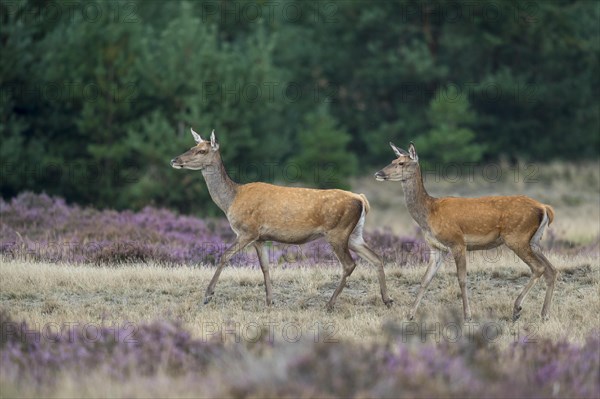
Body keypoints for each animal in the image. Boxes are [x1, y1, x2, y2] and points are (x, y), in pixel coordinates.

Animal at [171, 130, 394, 310]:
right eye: (192, 147)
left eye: (202, 151)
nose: (174, 160)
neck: (231, 200)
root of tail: (361, 199)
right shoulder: (260, 238)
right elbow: (265, 266)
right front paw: (270, 300)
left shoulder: (247, 230)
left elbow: (224, 256)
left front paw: (207, 295)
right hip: (354, 234)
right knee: (376, 257)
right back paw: (387, 300)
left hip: (337, 231)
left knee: (349, 264)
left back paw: (329, 304)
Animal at [376, 144, 556, 322]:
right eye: (393, 160)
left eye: (401, 163)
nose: (378, 173)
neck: (429, 214)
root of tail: (544, 208)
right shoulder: (437, 248)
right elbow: (425, 279)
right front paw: (410, 314)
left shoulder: (457, 242)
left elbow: (462, 279)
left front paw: (467, 315)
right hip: (533, 241)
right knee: (551, 269)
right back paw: (544, 314)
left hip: (517, 237)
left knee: (539, 268)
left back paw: (517, 308)